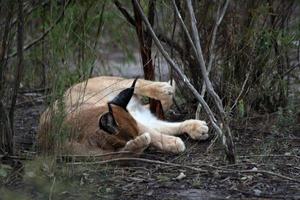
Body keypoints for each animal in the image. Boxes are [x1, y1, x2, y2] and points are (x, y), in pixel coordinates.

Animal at [37, 76, 209, 156]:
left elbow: (151, 134)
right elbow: (151, 134)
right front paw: (172, 143)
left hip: (112, 85)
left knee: (137, 83)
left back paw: (164, 88)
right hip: (135, 111)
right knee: (160, 122)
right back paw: (196, 128)